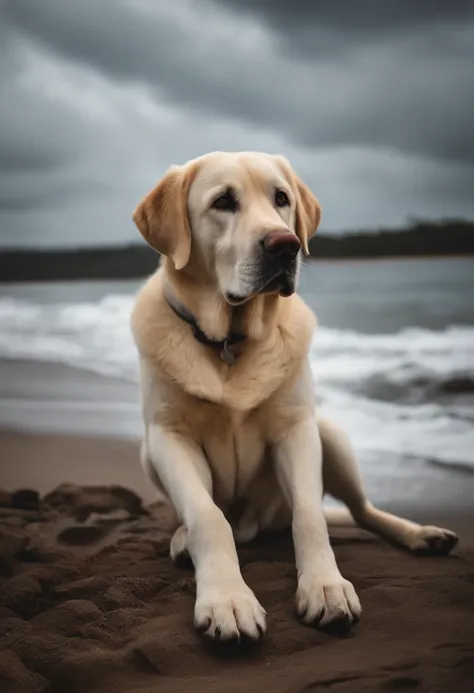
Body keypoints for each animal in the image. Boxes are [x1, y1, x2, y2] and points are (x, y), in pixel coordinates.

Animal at [131, 151, 460, 644]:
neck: (230, 341)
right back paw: (182, 540)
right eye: (223, 201)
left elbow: (310, 514)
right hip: (148, 450)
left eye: (281, 199)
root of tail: (257, 525)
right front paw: (227, 598)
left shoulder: (297, 430)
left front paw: (325, 587)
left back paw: (421, 533)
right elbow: (209, 516)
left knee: (361, 511)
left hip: (330, 433)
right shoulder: (170, 437)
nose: (284, 245)